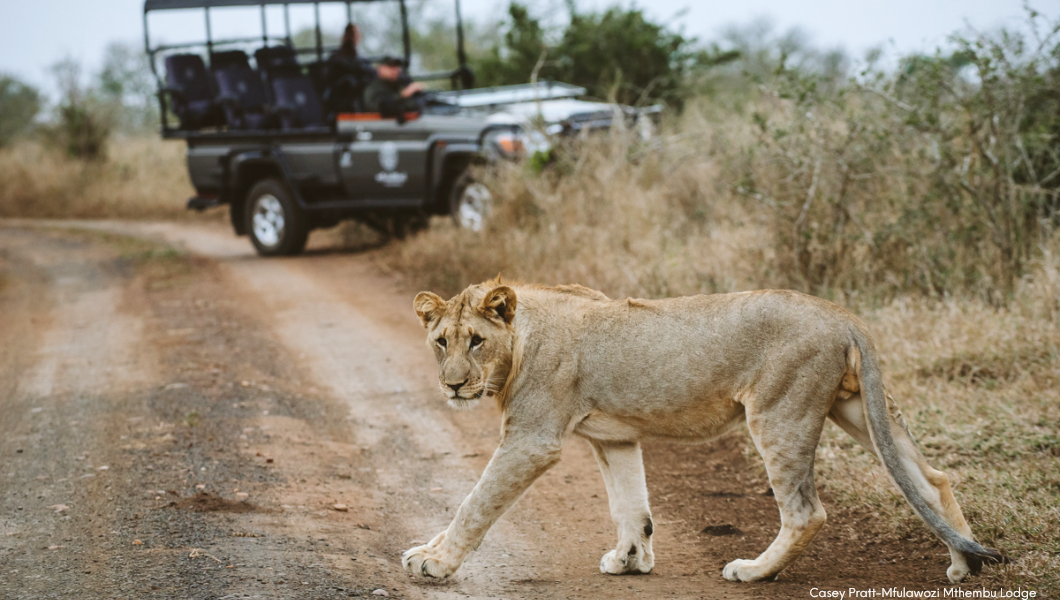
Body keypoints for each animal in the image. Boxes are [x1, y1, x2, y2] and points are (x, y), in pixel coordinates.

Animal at [400, 281, 1004, 585]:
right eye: (441, 341)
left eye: (476, 341)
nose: (453, 386)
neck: (521, 337)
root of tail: (841, 314)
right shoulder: (614, 437)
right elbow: (631, 506)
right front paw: (629, 561)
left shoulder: (532, 440)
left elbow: (476, 503)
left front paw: (434, 561)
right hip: (854, 408)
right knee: (931, 477)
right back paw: (963, 562)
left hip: (779, 412)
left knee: (806, 512)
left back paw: (753, 571)